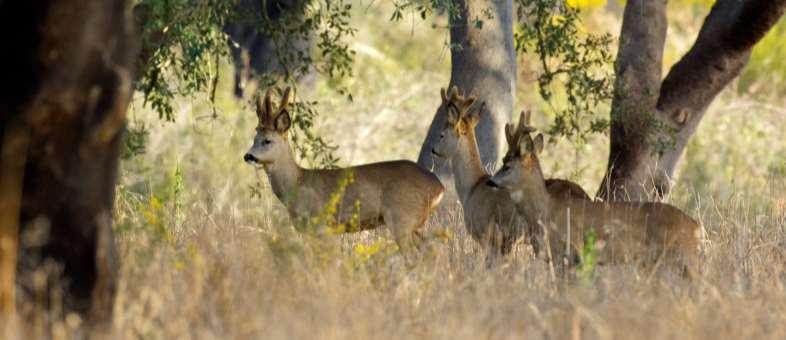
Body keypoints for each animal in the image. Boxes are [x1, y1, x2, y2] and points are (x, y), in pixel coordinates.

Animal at [242, 87, 444, 252]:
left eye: (267, 140)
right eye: (254, 139)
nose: (248, 156)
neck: (297, 183)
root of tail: (439, 187)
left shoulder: (323, 226)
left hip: (402, 217)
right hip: (415, 223)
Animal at [486, 112, 700, 278]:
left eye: (507, 165)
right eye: (504, 161)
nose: (490, 182)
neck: (545, 212)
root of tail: (695, 226)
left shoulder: (570, 252)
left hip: (683, 257)